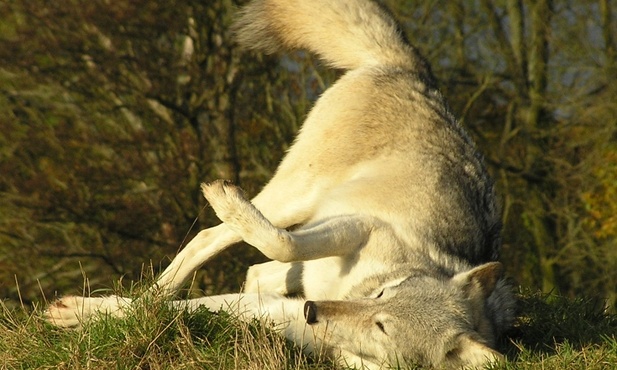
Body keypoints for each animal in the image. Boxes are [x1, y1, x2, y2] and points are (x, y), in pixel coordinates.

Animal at [44, 0, 516, 368]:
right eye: (382, 294)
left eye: (383, 326)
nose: (312, 310)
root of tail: (415, 69)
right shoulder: (362, 226)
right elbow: (284, 244)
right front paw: (84, 312)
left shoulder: (283, 317)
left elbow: (188, 311)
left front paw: (86, 314)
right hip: (296, 196)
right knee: (213, 237)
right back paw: (217, 212)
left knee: (252, 271)